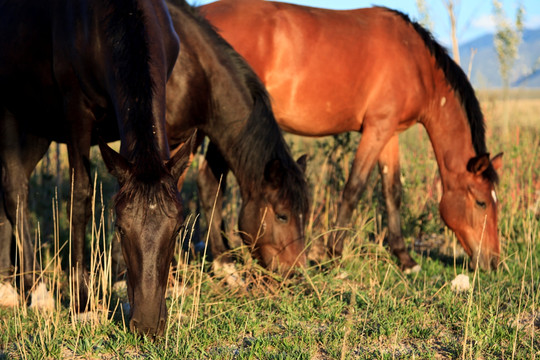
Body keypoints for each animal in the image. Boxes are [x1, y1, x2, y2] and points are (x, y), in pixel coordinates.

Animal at [0, 0, 188, 338]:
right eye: (121, 228)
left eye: (178, 229)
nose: (148, 325)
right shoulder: (76, 112)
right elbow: (81, 198)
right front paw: (83, 304)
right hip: (10, 106)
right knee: (14, 188)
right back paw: (35, 291)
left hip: (39, 123)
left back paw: (8, 284)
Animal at [200, 0, 504, 270]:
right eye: (481, 202)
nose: (493, 261)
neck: (417, 63)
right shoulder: (376, 129)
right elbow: (354, 188)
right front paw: (334, 254)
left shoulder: (389, 133)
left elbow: (392, 192)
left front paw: (405, 259)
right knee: (209, 183)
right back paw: (223, 260)